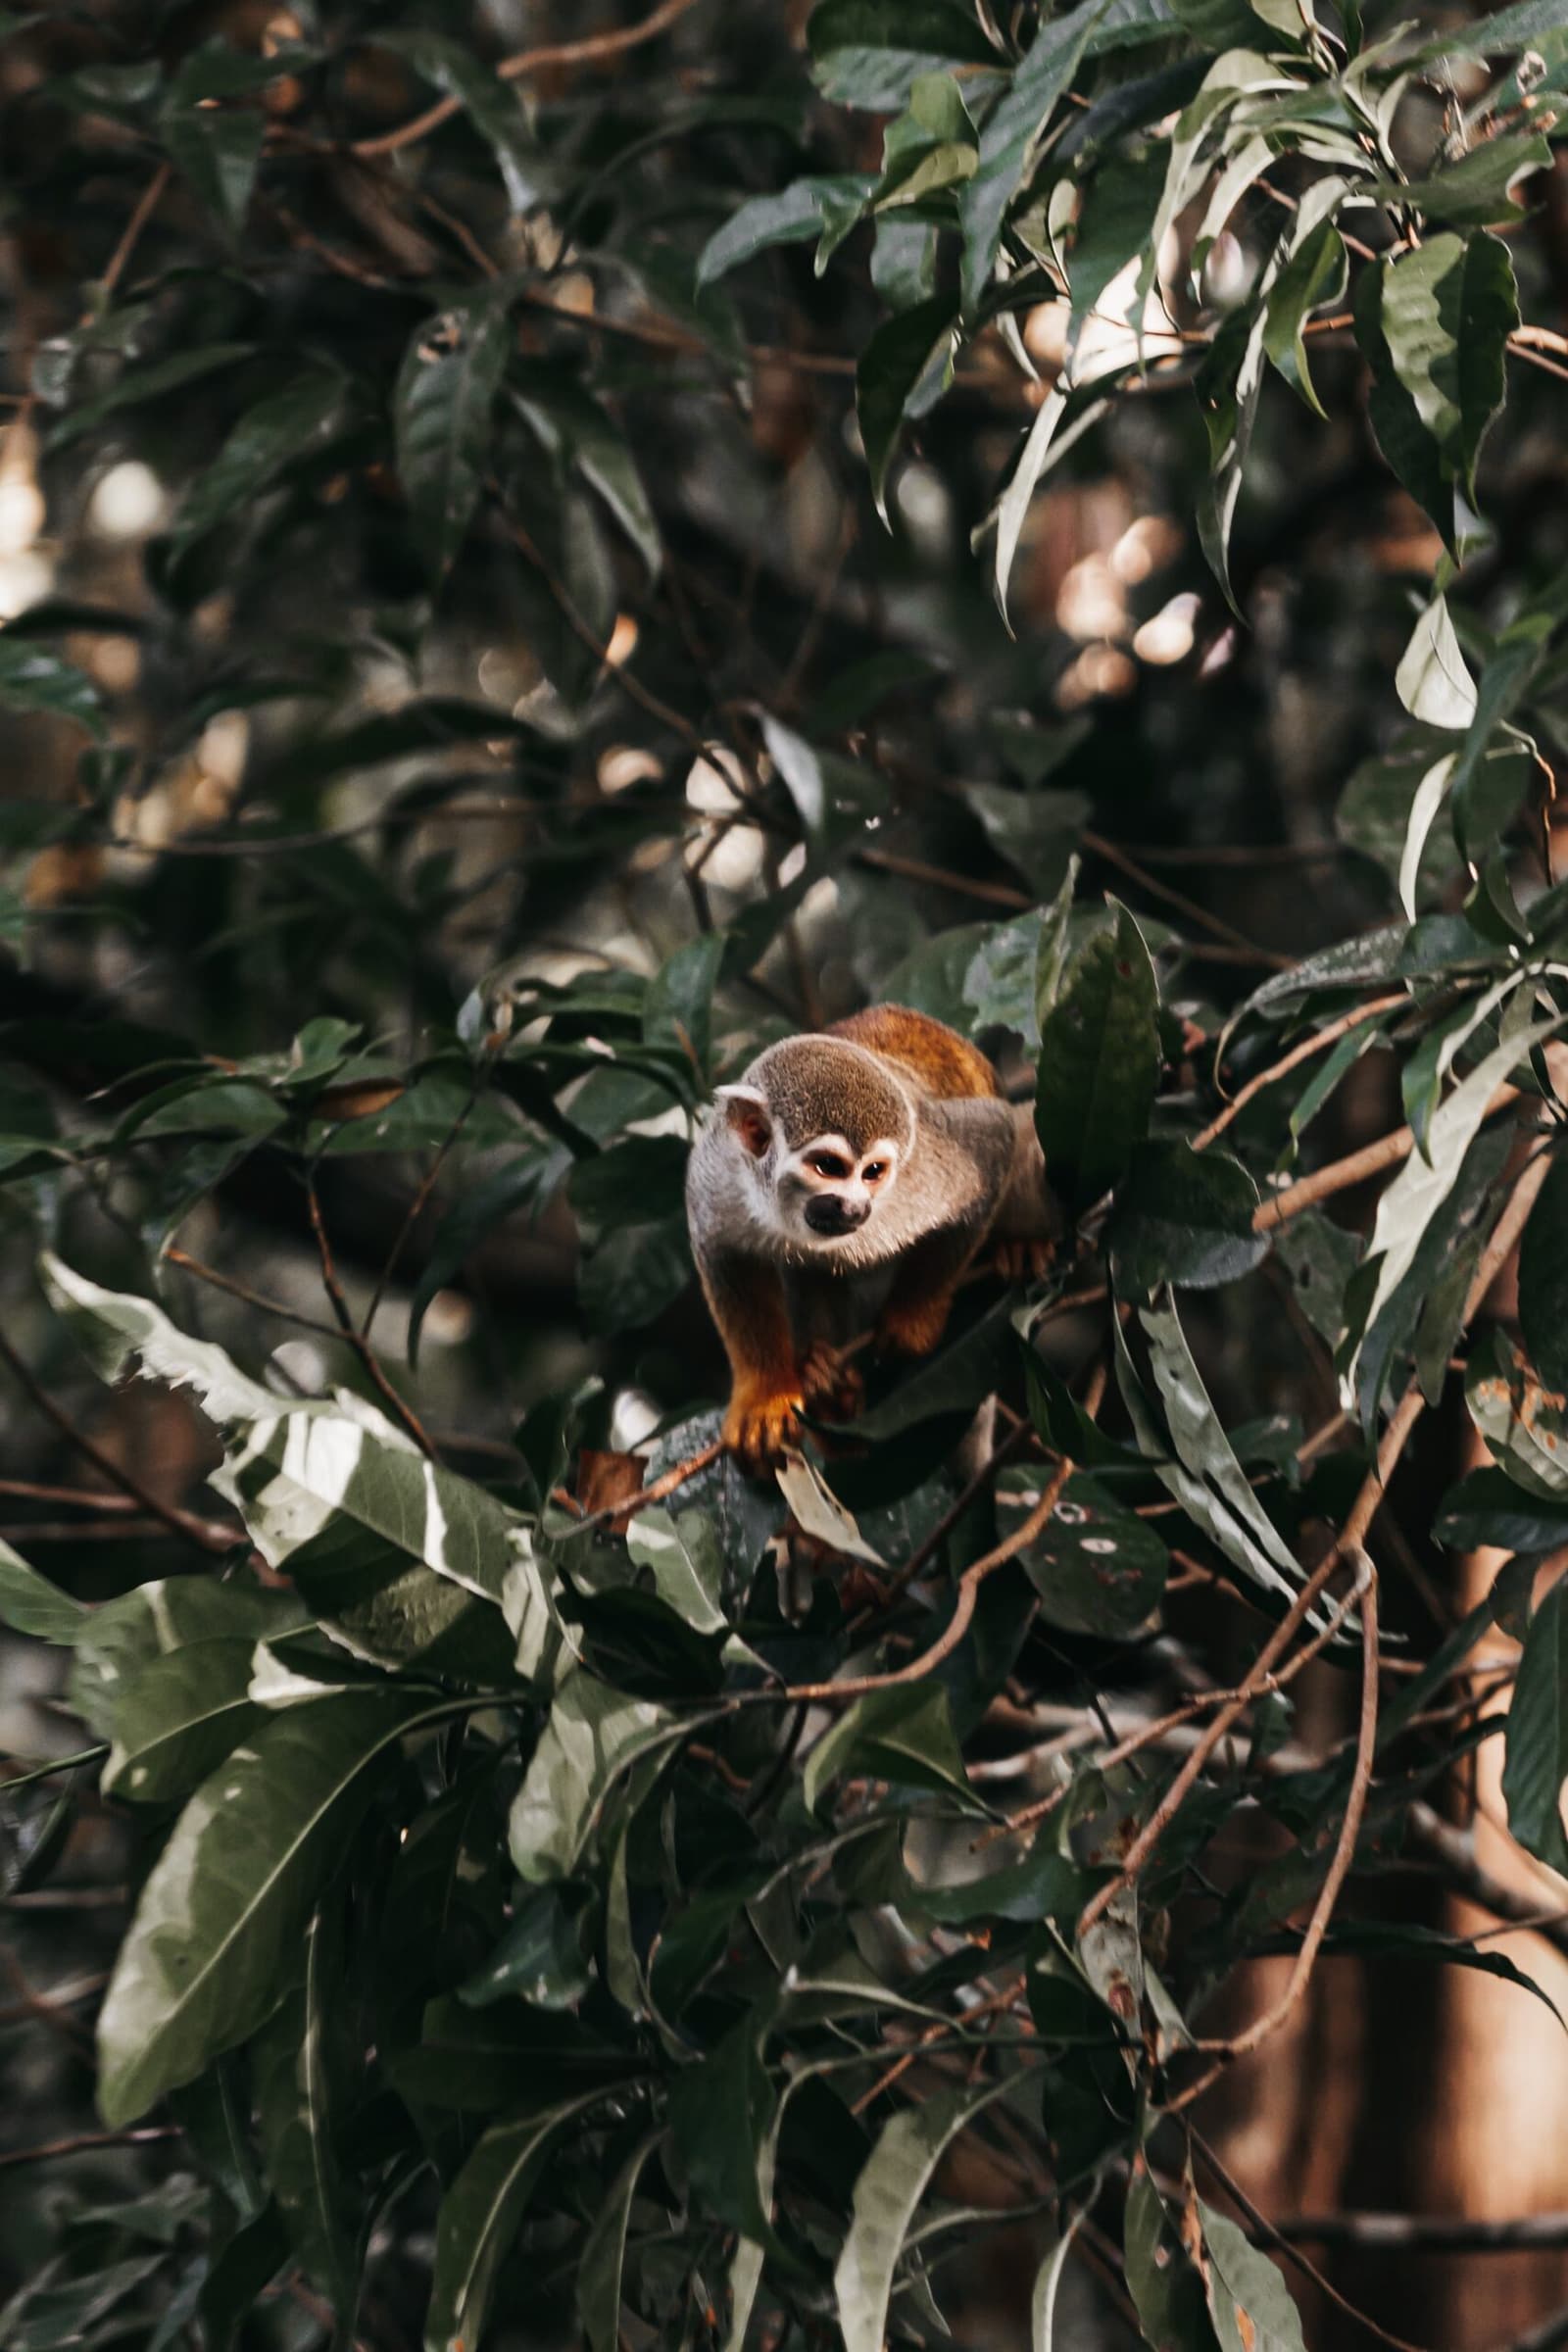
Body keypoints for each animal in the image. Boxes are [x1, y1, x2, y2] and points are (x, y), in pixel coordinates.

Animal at [685, 1006, 1056, 1473]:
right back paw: (830, 1396)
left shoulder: (924, 1168)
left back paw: (1020, 1243)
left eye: (874, 1172)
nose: (856, 1208)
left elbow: (995, 1140)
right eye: (828, 1166)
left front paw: (914, 1317)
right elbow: (725, 1252)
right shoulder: (719, 1170)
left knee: (1022, 1125)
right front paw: (766, 1395)